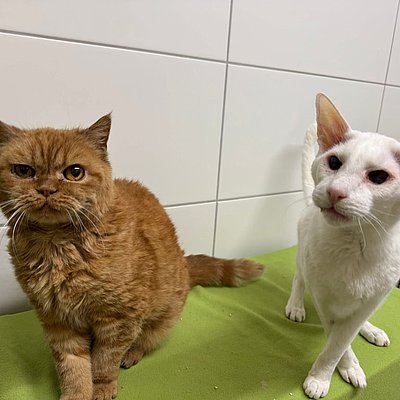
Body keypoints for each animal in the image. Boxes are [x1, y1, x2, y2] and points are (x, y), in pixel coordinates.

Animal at [0, 115, 264, 400]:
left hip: (161, 319)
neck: (57, 248)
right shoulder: (57, 322)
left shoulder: (119, 319)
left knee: (144, 341)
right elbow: (72, 367)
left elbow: (104, 360)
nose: (46, 190)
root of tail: (184, 264)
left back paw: (131, 354)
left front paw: (102, 388)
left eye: (74, 172)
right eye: (23, 171)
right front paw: (76, 393)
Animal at [285, 93, 400, 399]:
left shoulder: (372, 299)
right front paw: (329, 374)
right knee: (299, 278)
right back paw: (296, 305)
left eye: (379, 177)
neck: (355, 243)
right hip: (303, 252)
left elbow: (341, 339)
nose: (335, 191)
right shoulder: (323, 299)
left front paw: (332, 370)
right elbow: (335, 342)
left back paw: (371, 330)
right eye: (334, 162)